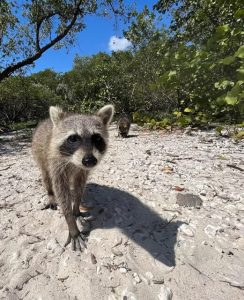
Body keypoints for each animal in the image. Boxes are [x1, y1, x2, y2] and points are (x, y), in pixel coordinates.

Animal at [31, 105, 114, 251]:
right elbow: (61, 192)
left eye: (97, 138)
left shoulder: (82, 170)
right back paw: (50, 193)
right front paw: (71, 222)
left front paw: (76, 207)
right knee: (46, 176)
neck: (73, 161)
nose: (90, 161)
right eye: (73, 138)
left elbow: (79, 186)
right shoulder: (56, 164)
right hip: (39, 153)